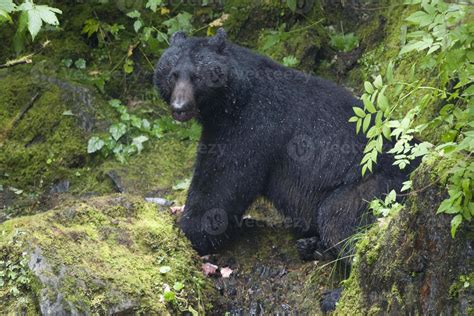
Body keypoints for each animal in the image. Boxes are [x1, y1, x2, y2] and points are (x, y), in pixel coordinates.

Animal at [154, 28, 410, 262]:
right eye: (172, 74)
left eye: (197, 76)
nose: (180, 107)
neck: (231, 100)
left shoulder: (250, 127)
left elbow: (221, 182)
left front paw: (187, 230)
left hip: (373, 185)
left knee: (338, 218)